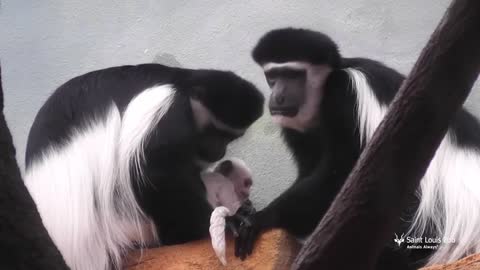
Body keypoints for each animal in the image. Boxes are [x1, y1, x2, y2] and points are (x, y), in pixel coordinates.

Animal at [24, 62, 264, 270]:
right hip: (129, 226)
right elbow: (153, 168)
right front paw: (222, 222)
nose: (219, 151)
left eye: (230, 138)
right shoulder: (168, 108)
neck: (182, 85)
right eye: (217, 133)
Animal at [235, 28, 480, 270]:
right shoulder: (295, 127)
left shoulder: (343, 96)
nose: (277, 97)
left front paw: (260, 218)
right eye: (272, 77)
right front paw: (245, 211)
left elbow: (339, 174)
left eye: (293, 75)